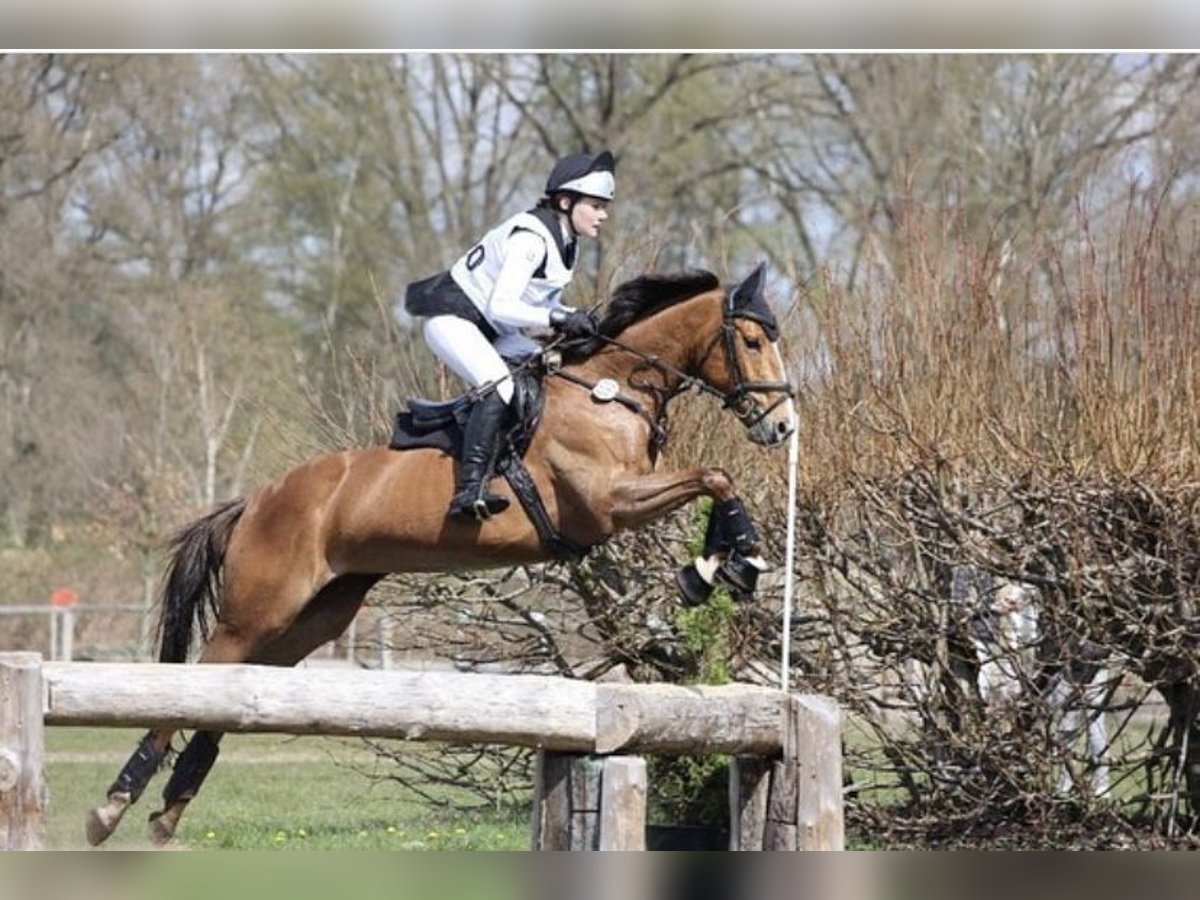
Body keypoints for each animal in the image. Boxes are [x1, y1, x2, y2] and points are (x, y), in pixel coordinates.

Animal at [84, 264, 796, 849]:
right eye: (752, 341)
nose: (784, 424)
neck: (610, 388)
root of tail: (257, 500)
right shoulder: (605, 505)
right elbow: (714, 475)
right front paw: (722, 564)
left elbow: (716, 480)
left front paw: (725, 565)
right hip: (255, 612)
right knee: (193, 687)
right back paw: (112, 807)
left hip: (311, 618)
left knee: (230, 698)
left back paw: (168, 813)